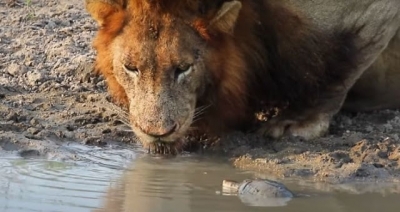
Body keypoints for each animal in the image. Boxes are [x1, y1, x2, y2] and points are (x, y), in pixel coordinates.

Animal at [85, 0, 400, 152]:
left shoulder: (372, 11)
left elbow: (345, 64)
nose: (158, 133)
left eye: (183, 68)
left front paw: (297, 122)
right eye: (131, 68)